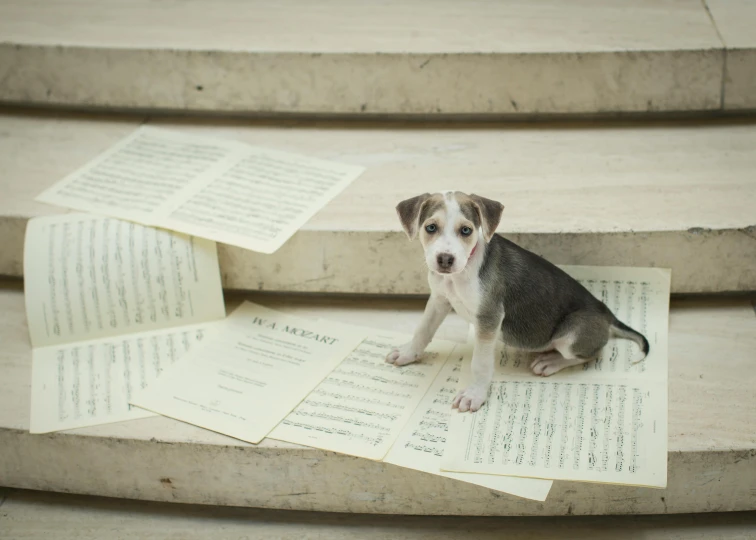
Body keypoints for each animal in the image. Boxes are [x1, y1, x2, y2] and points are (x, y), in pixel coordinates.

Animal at [386, 192, 648, 412]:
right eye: (431, 227)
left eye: (466, 231)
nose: (445, 259)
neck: (459, 275)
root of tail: (606, 312)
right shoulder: (439, 300)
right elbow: (423, 330)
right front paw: (408, 353)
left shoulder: (489, 318)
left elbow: (480, 363)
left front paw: (475, 394)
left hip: (572, 334)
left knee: (592, 354)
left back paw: (550, 362)